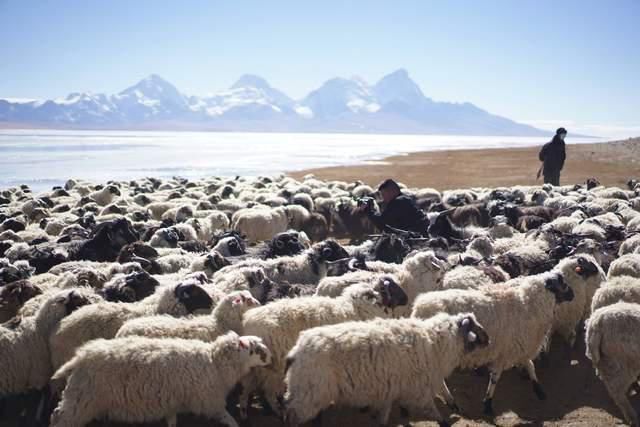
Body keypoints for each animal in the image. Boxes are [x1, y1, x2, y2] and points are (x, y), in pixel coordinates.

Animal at [48, 334, 272, 427]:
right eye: (255, 349)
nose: (272, 359)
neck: (215, 363)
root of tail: (80, 356)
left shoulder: (171, 400)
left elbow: (172, 420)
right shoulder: (210, 402)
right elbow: (230, 419)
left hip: (83, 397)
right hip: (84, 398)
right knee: (60, 417)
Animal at [282, 312, 488, 426]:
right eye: (476, 330)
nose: (489, 340)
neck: (436, 343)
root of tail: (296, 351)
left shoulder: (392, 387)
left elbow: (385, 413)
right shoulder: (419, 390)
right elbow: (436, 411)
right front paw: (445, 419)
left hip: (307, 392)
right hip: (310, 393)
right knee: (292, 415)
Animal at [412, 270, 572, 414]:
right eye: (563, 284)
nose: (573, 294)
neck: (527, 305)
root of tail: (419, 306)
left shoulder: (519, 345)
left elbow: (530, 366)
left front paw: (539, 389)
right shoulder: (506, 351)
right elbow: (495, 378)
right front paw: (487, 404)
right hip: (437, 354)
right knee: (439, 381)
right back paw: (451, 402)